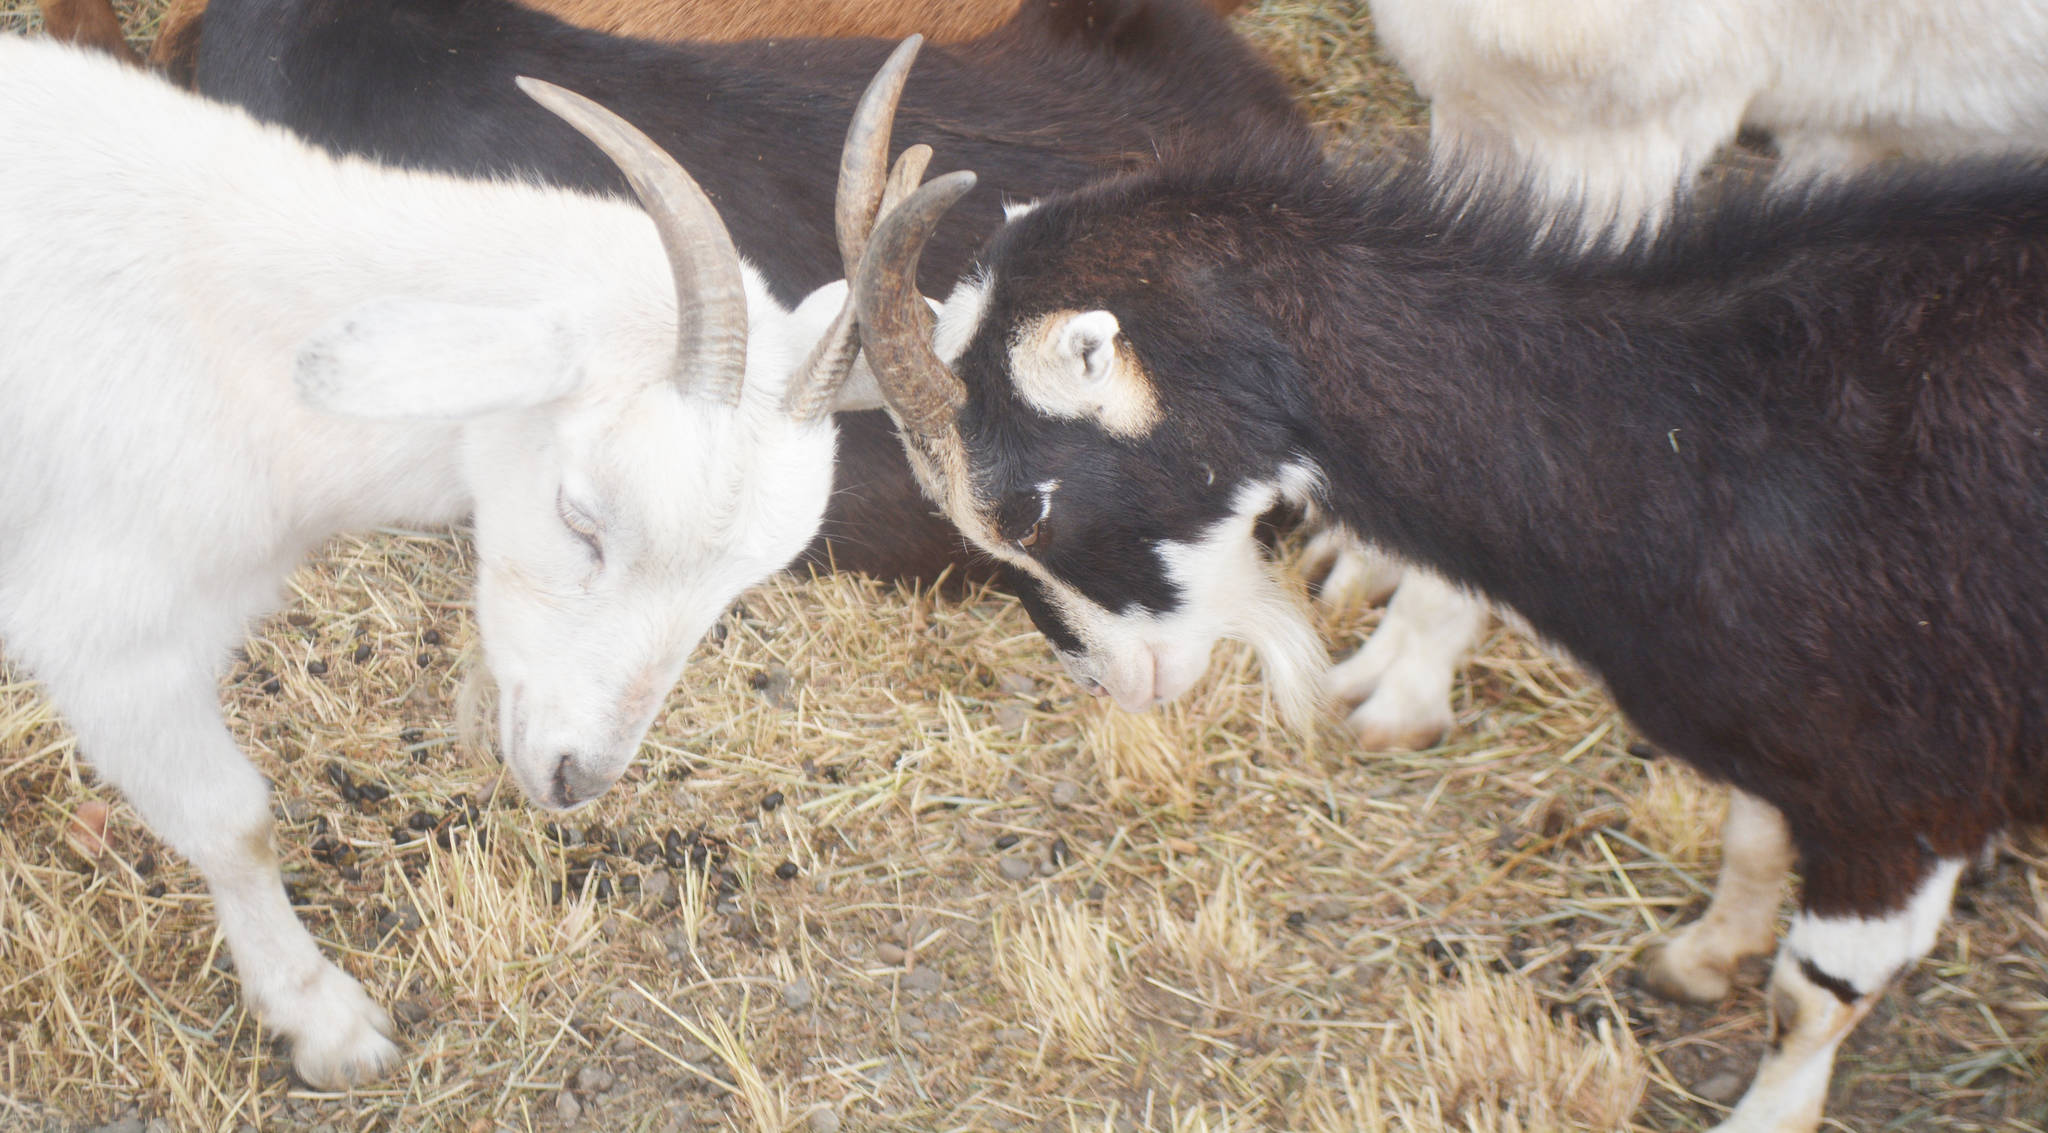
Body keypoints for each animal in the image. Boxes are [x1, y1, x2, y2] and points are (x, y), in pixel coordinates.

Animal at [0, 33, 910, 1086]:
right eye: (579, 516)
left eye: (738, 585)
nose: (576, 777)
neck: (225, 317)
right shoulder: (112, 640)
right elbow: (234, 822)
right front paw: (325, 1022)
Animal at [850, 132, 2048, 1131]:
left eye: (1025, 512)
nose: (1112, 680)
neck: (1704, 424)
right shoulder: (1789, 734)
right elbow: (1754, 837)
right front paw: (1704, 956)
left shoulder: (1906, 791)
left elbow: (1812, 995)